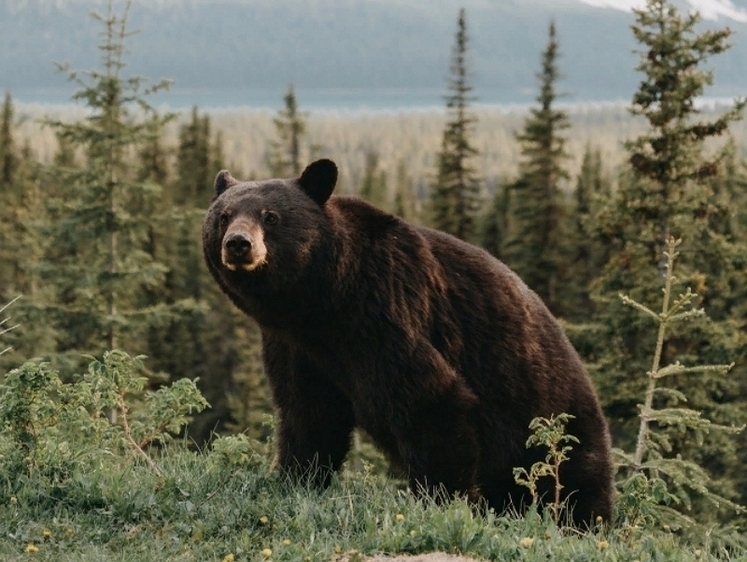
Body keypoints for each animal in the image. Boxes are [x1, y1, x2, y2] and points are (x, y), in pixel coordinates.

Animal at [203, 159, 612, 524]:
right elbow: (308, 412)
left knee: (575, 485)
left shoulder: (385, 313)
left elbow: (430, 401)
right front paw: (295, 478)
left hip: (553, 425)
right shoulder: (296, 347)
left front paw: (442, 499)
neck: (323, 302)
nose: (238, 244)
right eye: (223, 216)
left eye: (271, 216)